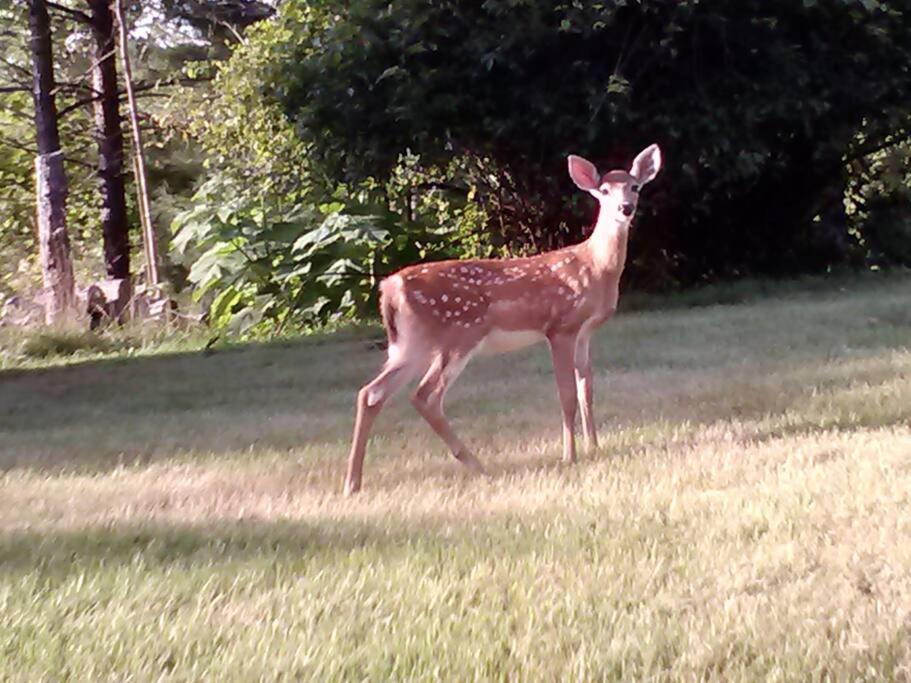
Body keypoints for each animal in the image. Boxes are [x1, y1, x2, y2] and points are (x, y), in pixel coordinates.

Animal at [344, 147, 664, 494]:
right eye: (604, 190)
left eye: (634, 186)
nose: (625, 208)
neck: (594, 267)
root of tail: (389, 288)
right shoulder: (560, 327)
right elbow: (565, 394)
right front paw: (570, 456)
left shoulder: (585, 332)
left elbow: (586, 390)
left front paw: (595, 448)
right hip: (459, 335)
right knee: (425, 396)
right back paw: (477, 466)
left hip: (411, 345)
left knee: (371, 393)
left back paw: (353, 482)